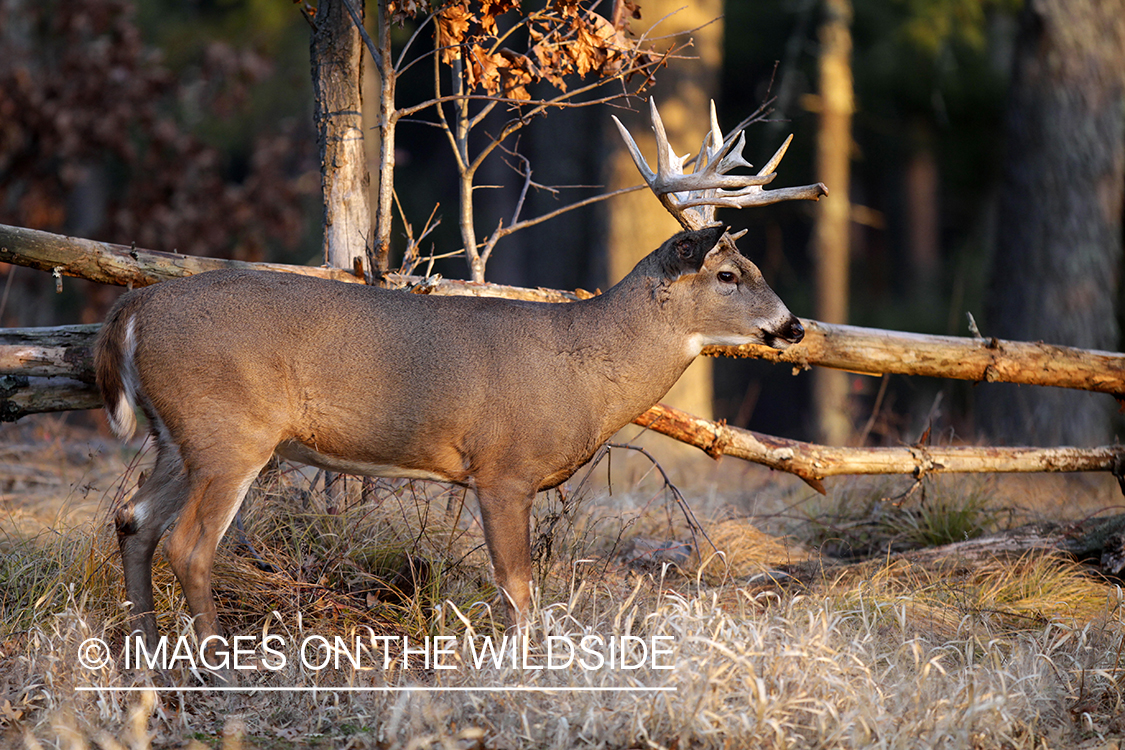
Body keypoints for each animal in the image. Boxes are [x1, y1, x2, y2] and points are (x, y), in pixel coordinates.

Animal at [94, 101, 828, 656]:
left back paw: (146, 660)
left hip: (175, 435)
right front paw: (526, 673)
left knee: (134, 520)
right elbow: (519, 591)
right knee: (189, 545)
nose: (792, 326)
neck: (584, 367)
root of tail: (135, 307)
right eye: (728, 274)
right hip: (229, 431)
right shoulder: (503, 468)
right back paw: (217, 669)